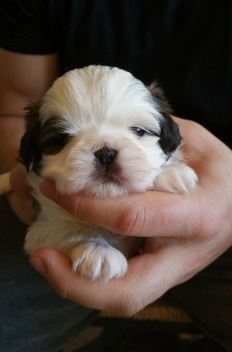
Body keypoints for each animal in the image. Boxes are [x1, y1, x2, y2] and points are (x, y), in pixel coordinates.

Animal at [20, 65, 198, 280]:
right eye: (62, 139)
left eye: (138, 131)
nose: (105, 153)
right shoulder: (41, 229)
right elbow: (69, 228)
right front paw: (98, 250)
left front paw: (171, 173)